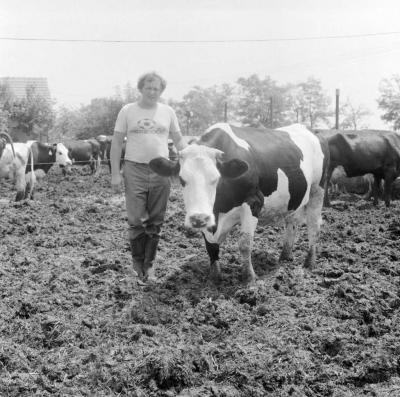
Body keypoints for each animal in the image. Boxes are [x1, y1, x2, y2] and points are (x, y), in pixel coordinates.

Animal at [149, 122, 328, 284]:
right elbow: (210, 246)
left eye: (216, 179)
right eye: (181, 179)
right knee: (292, 223)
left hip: (317, 190)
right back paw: (285, 257)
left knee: (314, 226)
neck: (218, 209)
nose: (198, 218)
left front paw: (249, 278)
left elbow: (244, 243)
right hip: (294, 199)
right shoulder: (209, 218)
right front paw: (214, 277)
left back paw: (309, 262)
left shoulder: (254, 202)